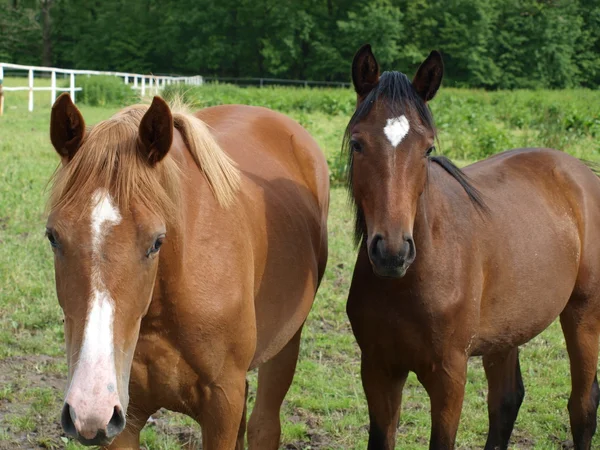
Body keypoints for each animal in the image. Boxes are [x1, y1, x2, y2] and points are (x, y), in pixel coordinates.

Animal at [45, 93, 328, 448]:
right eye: (53, 236)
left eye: (156, 241)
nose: (88, 409)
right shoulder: (126, 415)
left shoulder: (222, 404)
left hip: (286, 343)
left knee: (264, 425)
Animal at [344, 43, 600, 450]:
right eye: (357, 143)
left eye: (427, 148)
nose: (392, 253)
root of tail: (580, 173)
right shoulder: (378, 369)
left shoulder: (450, 376)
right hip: (508, 331)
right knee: (506, 402)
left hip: (584, 315)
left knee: (583, 405)